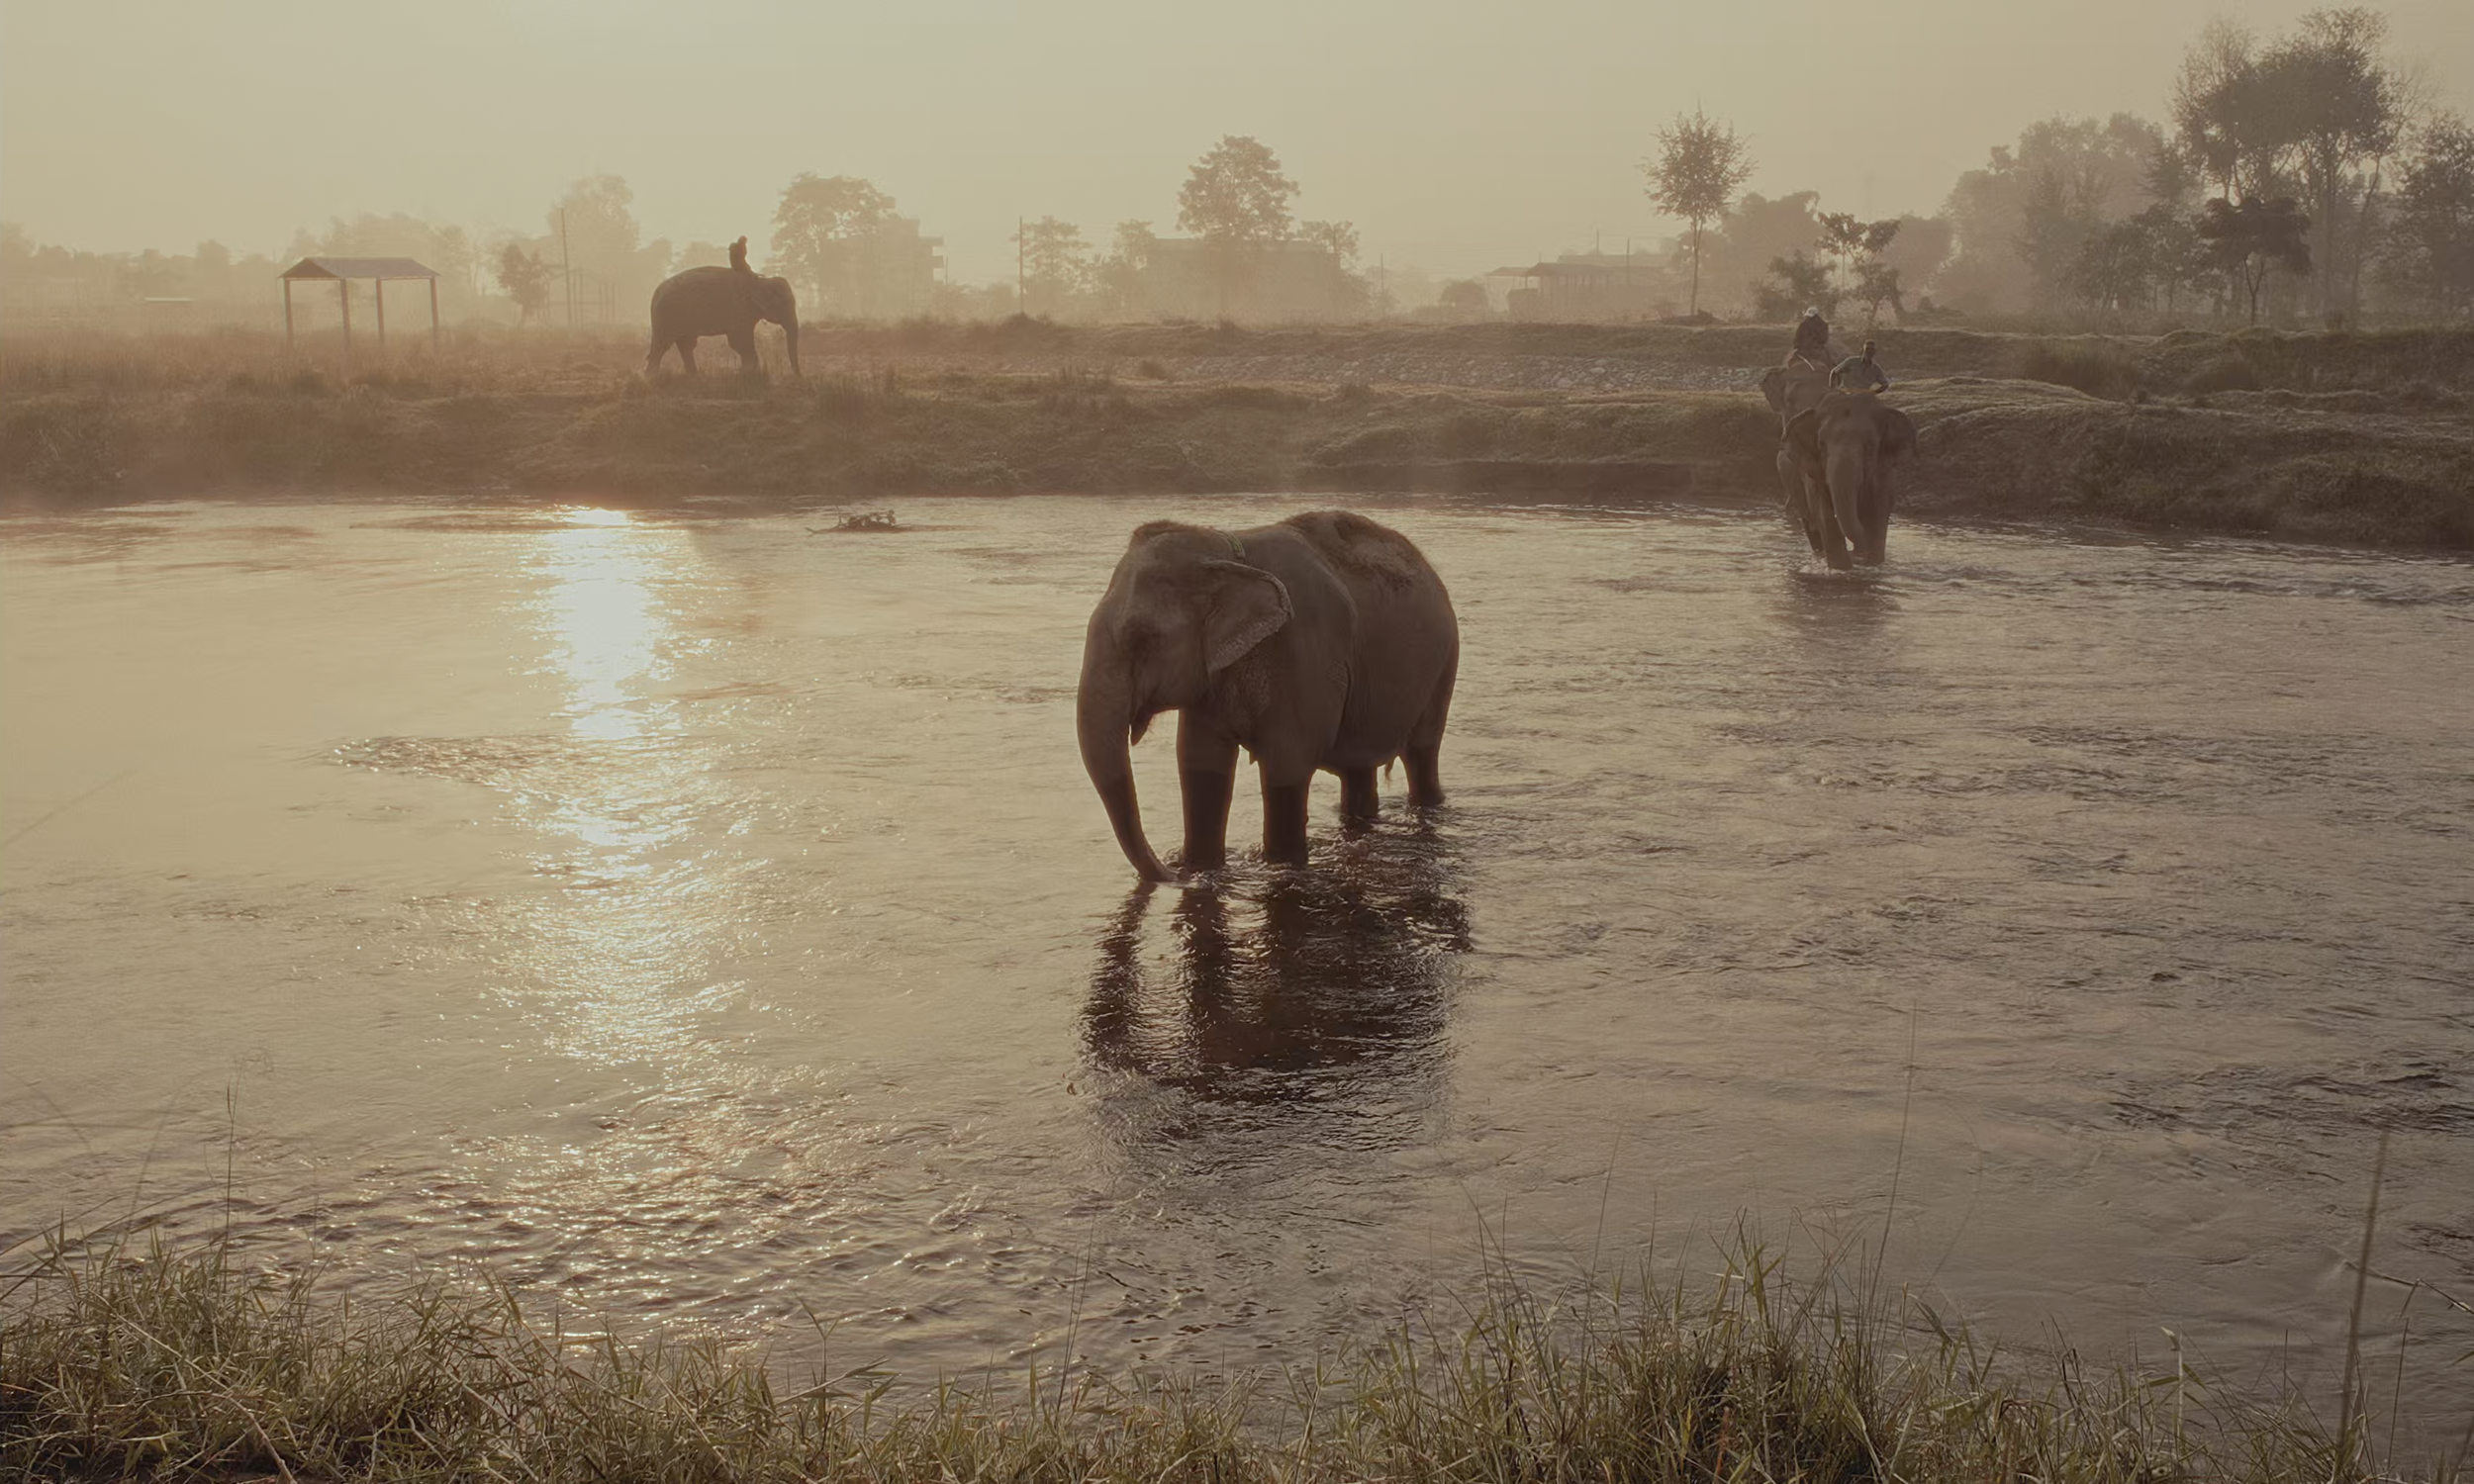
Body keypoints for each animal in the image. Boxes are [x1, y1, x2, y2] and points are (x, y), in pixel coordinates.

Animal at [644, 245, 799, 376]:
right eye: (785, 303)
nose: (799, 377)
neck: (761, 282)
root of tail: (654, 294)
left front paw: (746, 374)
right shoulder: (739, 308)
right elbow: (740, 342)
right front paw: (750, 375)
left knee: (686, 345)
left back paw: (694, 377)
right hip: (666, 317)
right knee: (661, 346)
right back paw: (652, 378)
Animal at [1077, 510, 1460, 882]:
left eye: (1142, 639)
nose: (1173, 872)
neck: (1227, 551)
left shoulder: (1307, 655)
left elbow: (1287, 764)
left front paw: (1280, 865)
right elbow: (1199, 764)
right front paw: (1202, 868)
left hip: (1444, 665)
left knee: (1421, 753)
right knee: (1358, 770)